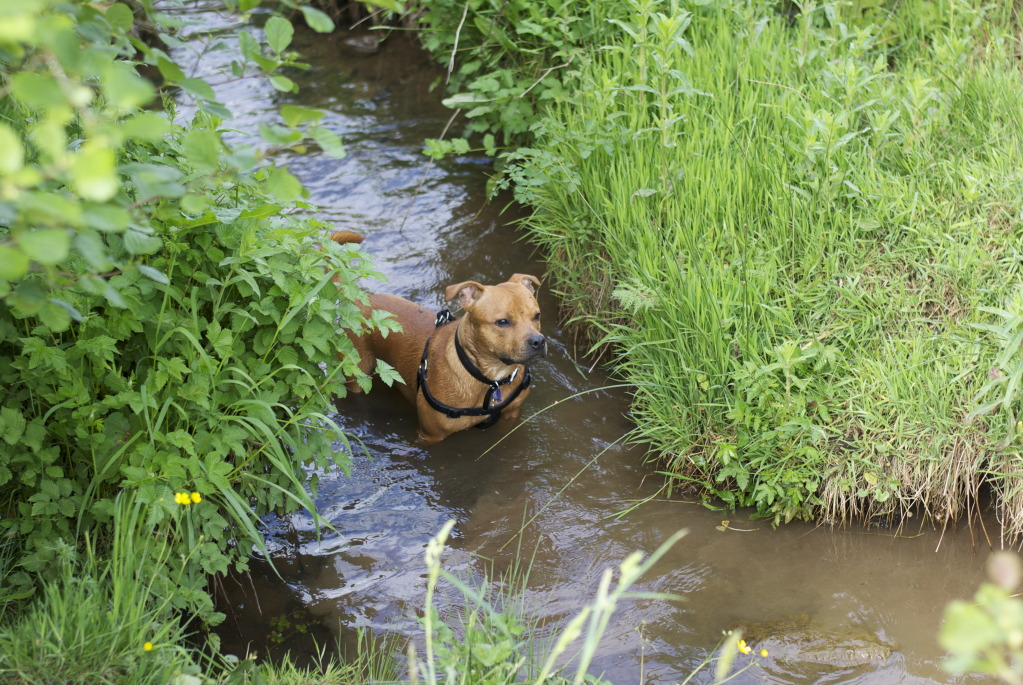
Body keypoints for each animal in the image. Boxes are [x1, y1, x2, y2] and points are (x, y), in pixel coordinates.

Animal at [331, 231, 548, 445]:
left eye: (537, 315)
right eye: (502, 322)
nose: (538, 341)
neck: (489, 379)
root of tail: (361, 299)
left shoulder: (511, 415)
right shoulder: (428, 436)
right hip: (355, 374)